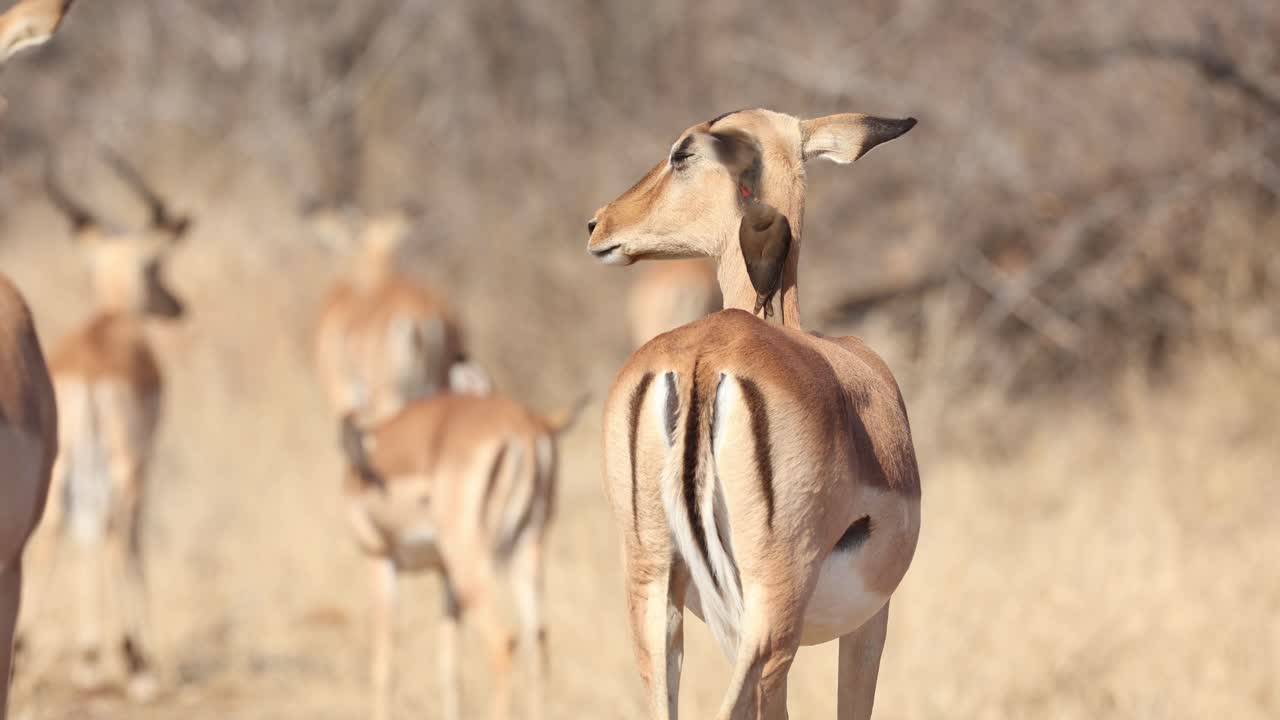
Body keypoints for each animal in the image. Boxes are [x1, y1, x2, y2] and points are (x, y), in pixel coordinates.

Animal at [26, 151, 191, 702]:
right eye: (156, 265)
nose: (179, 305)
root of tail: (90, 369)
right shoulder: (146, 459)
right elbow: (129, 536)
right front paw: (118, 658)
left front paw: (89, 657)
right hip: (124, 462)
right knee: (117, 528)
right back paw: (136, 667)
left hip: (61, 464)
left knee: (59, 527)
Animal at [339, 392, 587, 720]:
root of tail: (525, 425)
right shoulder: (444, 573)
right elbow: (449, 670)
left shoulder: (379, 558)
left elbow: (385, 668)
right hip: (526, 553)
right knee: (537, 646)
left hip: (469, 563)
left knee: (503, 645)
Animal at [586, 108, 921, 719]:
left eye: (680, 153)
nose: (599, 224)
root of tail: (702, 360)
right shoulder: (870, 622)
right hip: (772, 612)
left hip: (656, 591)